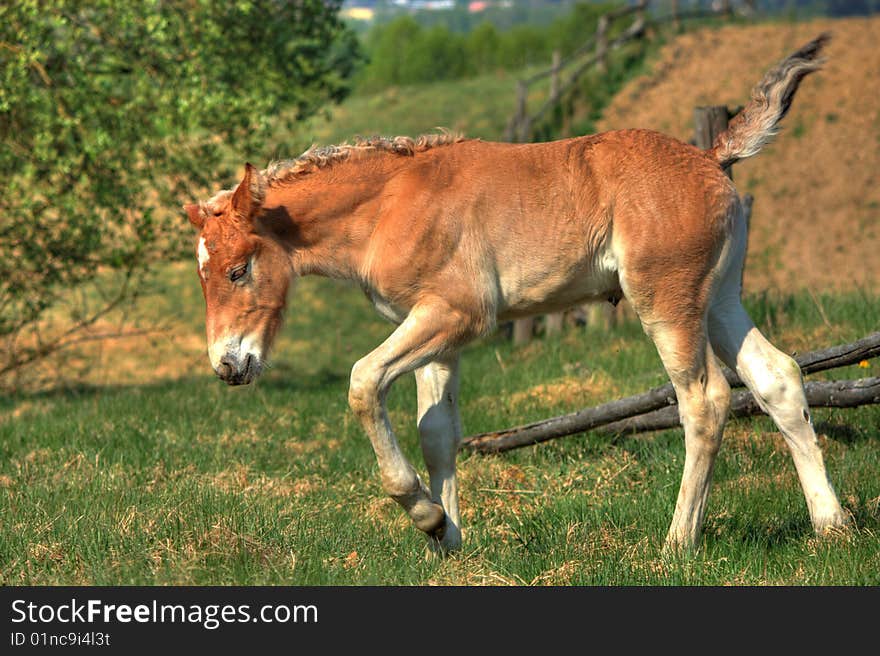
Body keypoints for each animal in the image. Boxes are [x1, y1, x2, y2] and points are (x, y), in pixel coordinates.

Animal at [184, 36, 844, 552]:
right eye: (202, 275)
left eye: (238, 270)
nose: (228, 365)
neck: (390, 203)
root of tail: (711, 157)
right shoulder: (435, 332)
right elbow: (437, 432)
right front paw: (445, 536)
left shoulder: (458, 315)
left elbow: (364, 383)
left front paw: (420, 508)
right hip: (720, 298)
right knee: (778, 377)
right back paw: (832, 525)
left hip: (667, 301)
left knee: (705, 400)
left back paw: (677, 543)